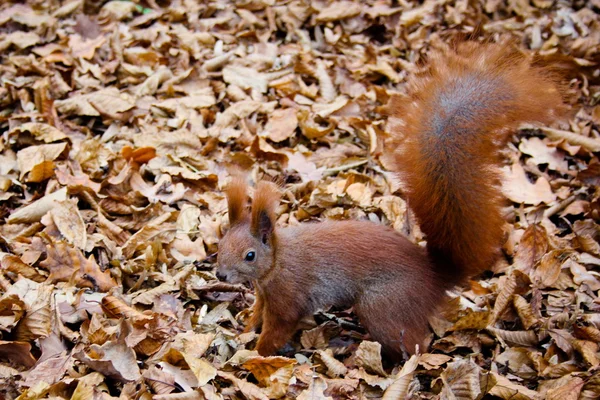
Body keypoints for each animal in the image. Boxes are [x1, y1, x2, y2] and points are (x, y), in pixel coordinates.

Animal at [216, 41, 568, 360]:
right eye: (220, 244)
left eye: (249, 255)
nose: (220, 275)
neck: (276, 261)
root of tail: (433, 278)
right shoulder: (265, 296)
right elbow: (257, 314)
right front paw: (244, 329)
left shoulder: (287, 296)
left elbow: (276, 330)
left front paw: (254, 355)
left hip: (381, 305)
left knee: (414, 347)